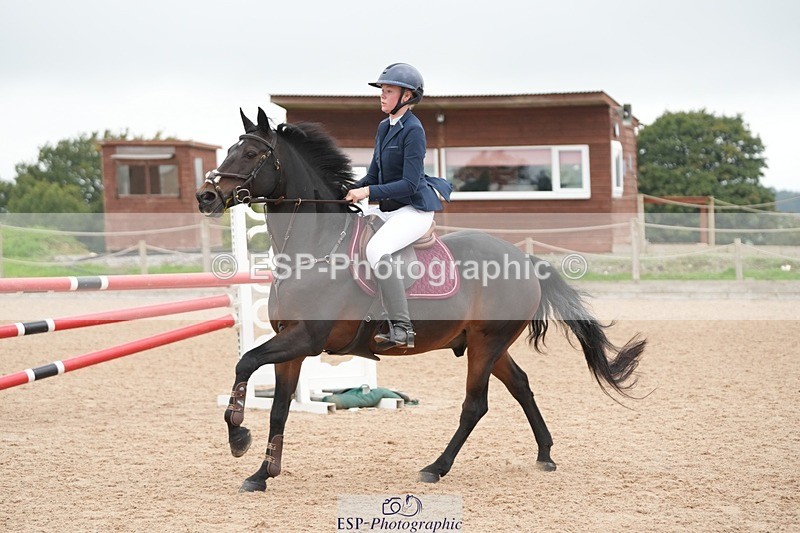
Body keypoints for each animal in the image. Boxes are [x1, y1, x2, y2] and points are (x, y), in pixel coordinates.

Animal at [195, 108, 646, 493]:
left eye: (251, 153)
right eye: (230, 149)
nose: (206, 196)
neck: (316, 246)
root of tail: (525, 260)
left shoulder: (306, 339)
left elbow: (246, 361)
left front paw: (238, 433)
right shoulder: (292, 344)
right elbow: (278, 407)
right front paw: (262, 472)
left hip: (486, 343)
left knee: (475, 405)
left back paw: (436, 467)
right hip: (489, 343)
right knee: (521, 385)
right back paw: (545, 455)